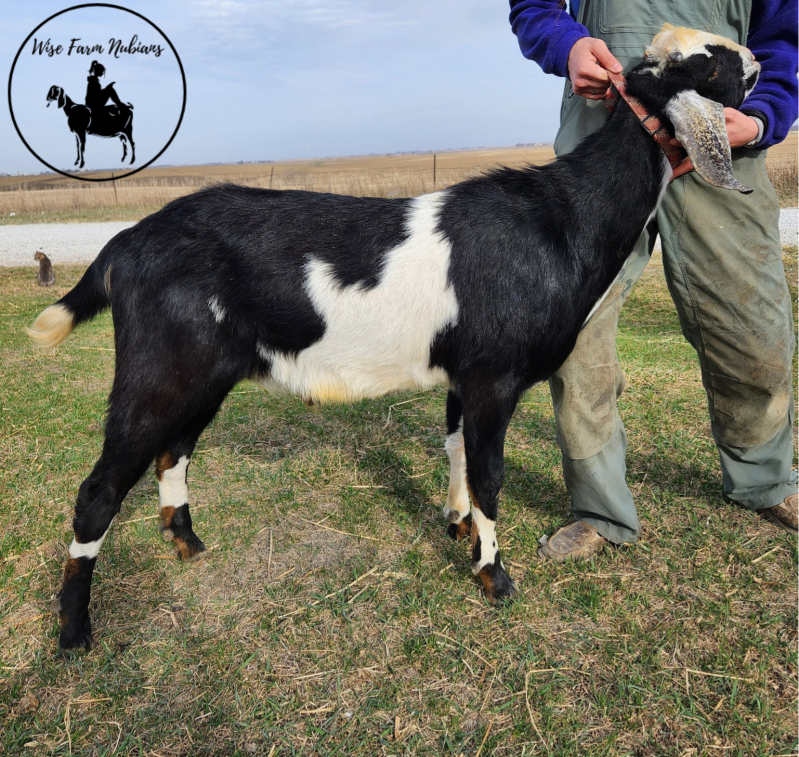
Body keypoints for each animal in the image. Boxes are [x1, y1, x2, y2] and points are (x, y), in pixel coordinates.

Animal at [27, 25, 759, 650]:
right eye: (706, 62)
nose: (756, 62)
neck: (561, 219)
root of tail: (128, 241)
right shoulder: (493, 376)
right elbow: (489, 472)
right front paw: (494, 575)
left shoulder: (463, 374)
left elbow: (456, 450)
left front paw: (457, 527)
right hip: (159, 369)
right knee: (99, 491)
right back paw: (75, 632)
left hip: (206, 374)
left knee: (172, 451)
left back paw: (186, 543)